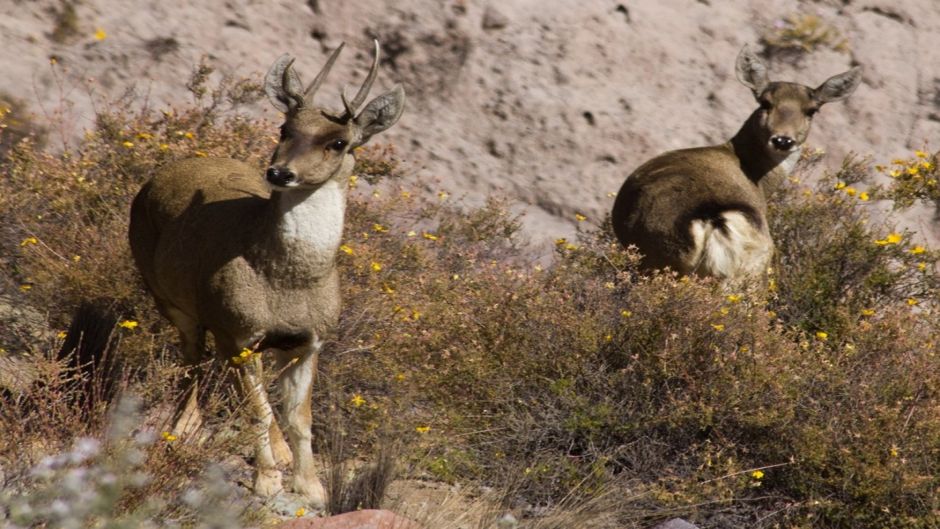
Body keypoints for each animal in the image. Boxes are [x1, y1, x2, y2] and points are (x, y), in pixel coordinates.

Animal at [127, 42, 404, 508]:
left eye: (339, 142)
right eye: (283, 127)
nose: (280, 172)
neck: (288, 280)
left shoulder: (309, 341)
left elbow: (299, 418)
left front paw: (311, 486)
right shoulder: (240, 332)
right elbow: (257, 410)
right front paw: (268, 481)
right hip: (168, 298)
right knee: (193, 360)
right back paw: (184, 431)